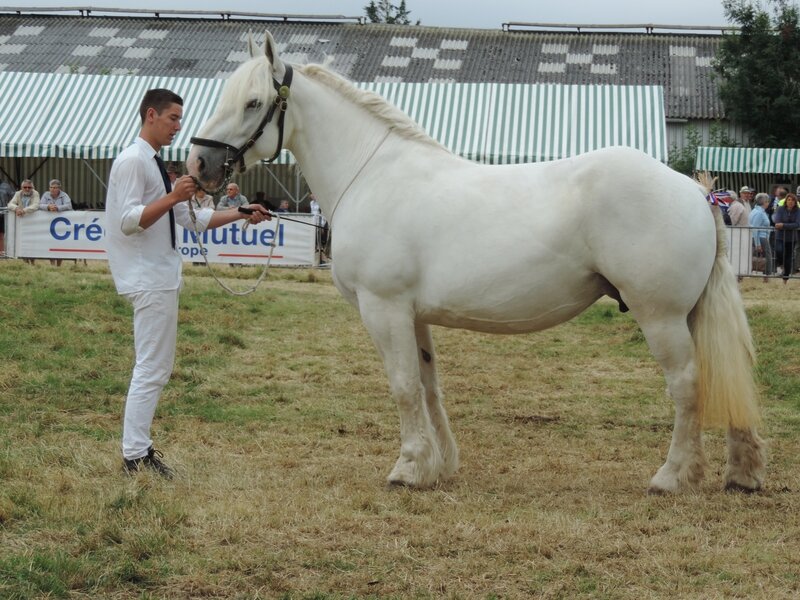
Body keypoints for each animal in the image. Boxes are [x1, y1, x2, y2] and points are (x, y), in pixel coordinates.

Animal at [184, 31, 764, 492]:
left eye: (253, 102)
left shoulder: (383, 308)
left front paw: (407, 468)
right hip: (689, 314)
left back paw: (672, 476)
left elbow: (402, 387)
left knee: (687, 383)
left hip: (660, 316)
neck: (372, 175)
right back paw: (743, 473)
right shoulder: (412, 315)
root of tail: (695, 191)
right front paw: (438, 466)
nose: (199, 164)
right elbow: (428, 386)